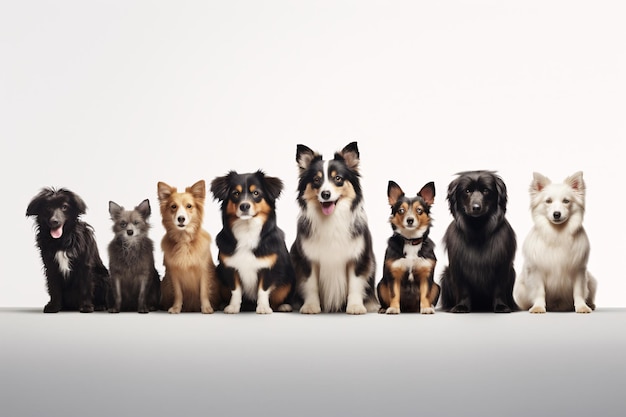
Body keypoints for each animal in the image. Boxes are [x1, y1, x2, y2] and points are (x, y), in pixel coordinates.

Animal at [157, 179, 221, 312]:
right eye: (173, 206)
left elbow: (204, 292)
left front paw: (206, 308)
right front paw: (176, 308)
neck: (184, 240)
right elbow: (178, 293)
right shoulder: (174, 273)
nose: (181, 218)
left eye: (189, 206)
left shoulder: (204, 271)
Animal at [436, 170, 516, 312]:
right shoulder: (458, 267)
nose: (476, 207)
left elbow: (499, 289)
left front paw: (501, 306)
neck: (478, 228)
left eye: (486, 190)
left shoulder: (503, 266)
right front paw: (461, 306)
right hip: (445, 274)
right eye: (467, 191)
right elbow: (463, 289)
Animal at [512, 170, 596, 312]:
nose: (557, 214)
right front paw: (538, 307)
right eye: (548, 201)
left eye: (566, 201)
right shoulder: (537, 271)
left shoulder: (578, 270)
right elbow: (539, 291)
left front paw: (581, 307)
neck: (557, 234)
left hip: (591, 280)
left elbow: (578, 291)